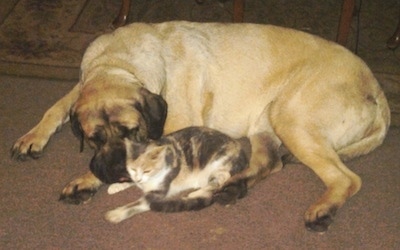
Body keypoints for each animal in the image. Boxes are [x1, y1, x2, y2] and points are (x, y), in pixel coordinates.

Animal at [106, 126, 250, 224]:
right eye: (132, 169)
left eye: (147, 170)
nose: (139, 178)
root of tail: (244, 156)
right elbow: (131, 181)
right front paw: (116, 186)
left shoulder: (156, 194)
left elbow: (133, 206)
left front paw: (115, 214)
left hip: (218, 164)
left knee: (219, 182)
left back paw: (194, 194)